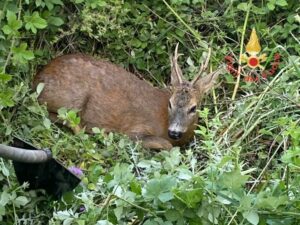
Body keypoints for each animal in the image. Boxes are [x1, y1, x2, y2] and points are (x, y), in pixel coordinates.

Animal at [34, 44, 223, 149]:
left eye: (193, 108)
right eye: (170, 104)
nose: (174, 132)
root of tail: (37, 77)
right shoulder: (134, 131)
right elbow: (167, 145)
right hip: (72, 100)